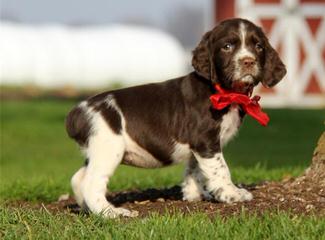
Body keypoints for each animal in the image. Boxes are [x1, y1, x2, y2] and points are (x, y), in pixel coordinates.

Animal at [66, 18, 286, 218]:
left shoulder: (197, 147)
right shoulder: (206, 140)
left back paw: (86, 209)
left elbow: (195, 170)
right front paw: (232, 194)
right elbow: (220, 169)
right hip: (108, 149)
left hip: (97, 152)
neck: (223, 91)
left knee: (78, 178)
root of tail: (78, 111)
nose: (248, 61)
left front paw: (196, 195)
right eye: (227, 46)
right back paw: (111, 212)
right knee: (91, 183)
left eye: (258, 46)